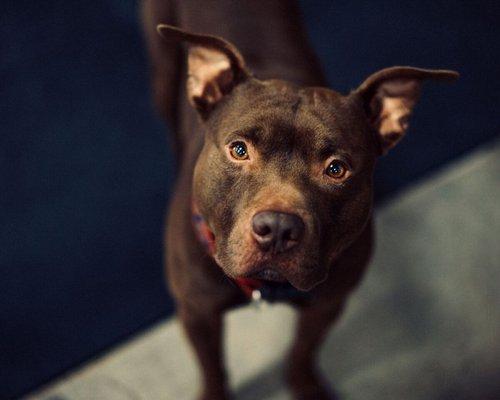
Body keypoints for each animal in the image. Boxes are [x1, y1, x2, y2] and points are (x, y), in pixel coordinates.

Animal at [140, 1, 458, 398]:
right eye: (239, 150)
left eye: (336, 169)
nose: (277, 228)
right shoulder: (197, 312)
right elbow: (213, 369)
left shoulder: (327, 305)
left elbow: (303, 351)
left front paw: (304, 385)